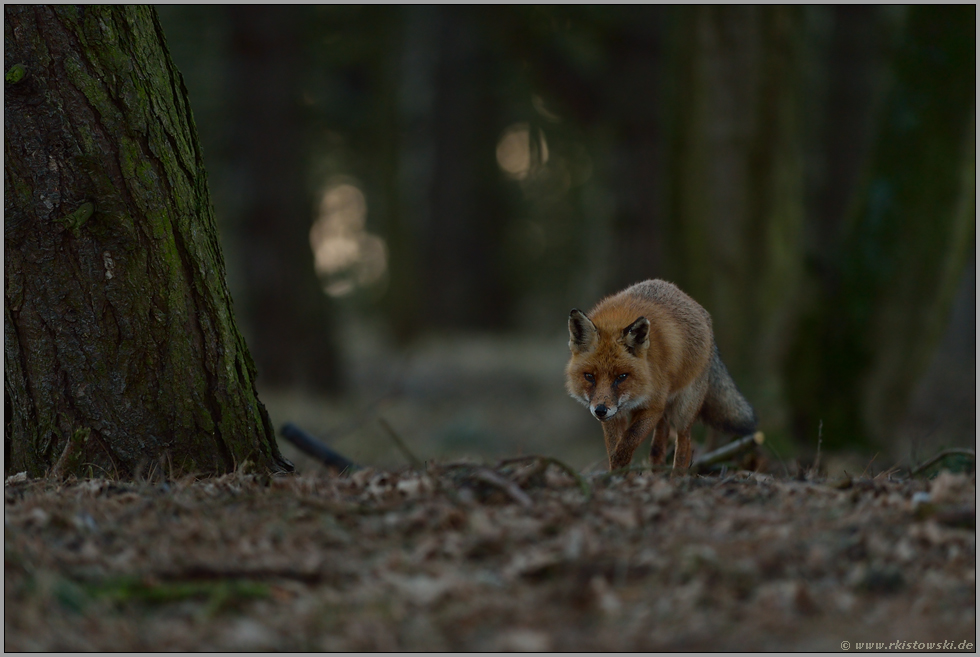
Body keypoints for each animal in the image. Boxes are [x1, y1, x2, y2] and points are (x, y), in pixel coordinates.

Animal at [568, 280, 756, 468]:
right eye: (589, 376)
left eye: (621, 377)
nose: (600, 410)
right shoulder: (615, 415)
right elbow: (615, 448)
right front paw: (616, 472)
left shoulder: (654, 405)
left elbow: (628, 442)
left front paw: (620, 468)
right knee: (660, 441)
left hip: (684, 410)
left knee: (684, 445)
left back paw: (677, 473)